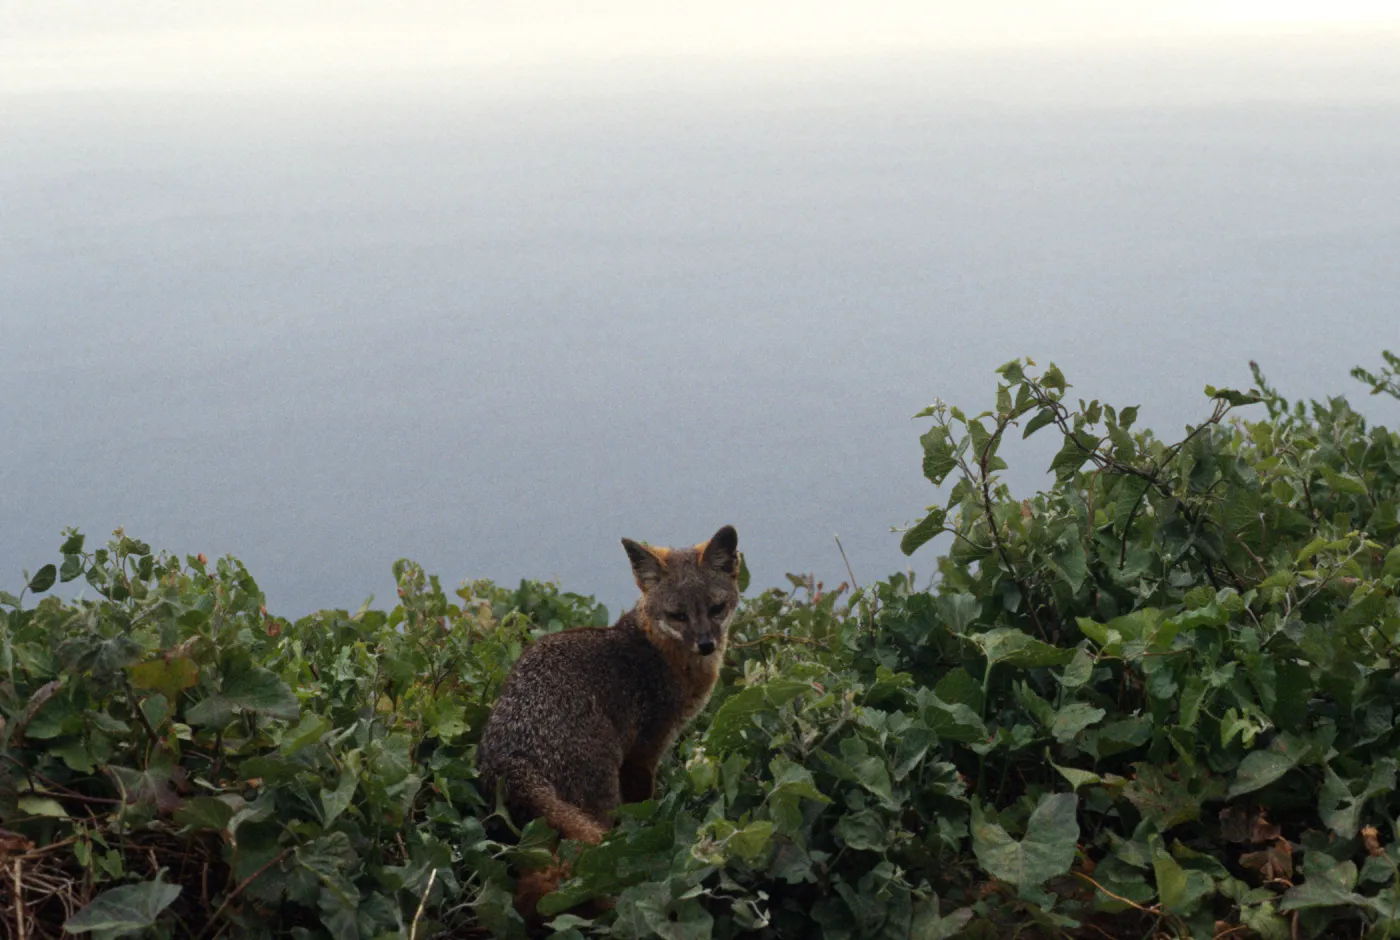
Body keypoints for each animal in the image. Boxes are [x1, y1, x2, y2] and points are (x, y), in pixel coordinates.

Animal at [475, 525, 741, 922]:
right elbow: (645, 805)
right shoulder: (645, 752)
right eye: (677, 615)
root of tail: (511, 755)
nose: (707, 644)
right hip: (600, 800)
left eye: (716, 608)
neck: (662, 654)